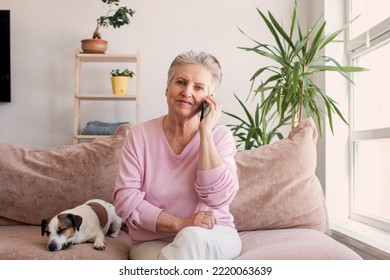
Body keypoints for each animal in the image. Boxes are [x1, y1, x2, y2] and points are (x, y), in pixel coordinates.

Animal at [0, 118, 362, 260]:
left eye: (62, 230)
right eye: (47, 233)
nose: (50, 248)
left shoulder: (93, 228)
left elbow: (99, 236)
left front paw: (102, 243)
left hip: (116, 216)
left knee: (116, 225)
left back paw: (116, 234)